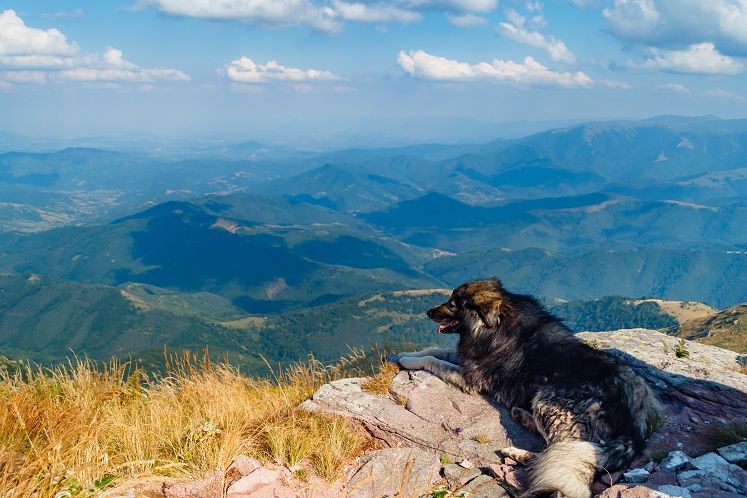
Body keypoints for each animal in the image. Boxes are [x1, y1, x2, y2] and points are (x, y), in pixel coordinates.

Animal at [386, 278, 660, 498]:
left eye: (454, 304)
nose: (428, 311)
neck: (497, 324)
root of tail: (635, 425)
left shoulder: (470, 377)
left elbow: (433, 360)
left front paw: (407, 360)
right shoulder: (466, 357)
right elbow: (435, 350)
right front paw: (400, 355)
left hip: (549, 400)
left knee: (557, 453)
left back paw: (517, 453)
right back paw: (521, 415)